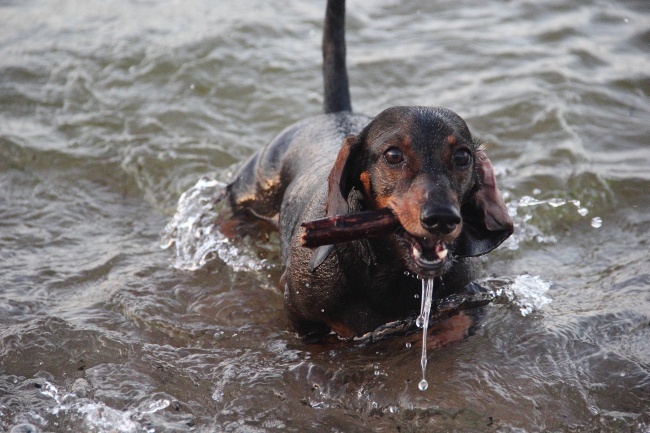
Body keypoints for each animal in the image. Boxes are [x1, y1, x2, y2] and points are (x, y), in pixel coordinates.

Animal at [225, 0, 512, 338]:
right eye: (393, 155)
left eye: (462, 157)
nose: (442, 217)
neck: (391, 274)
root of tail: (336, 113)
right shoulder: (302, 319)